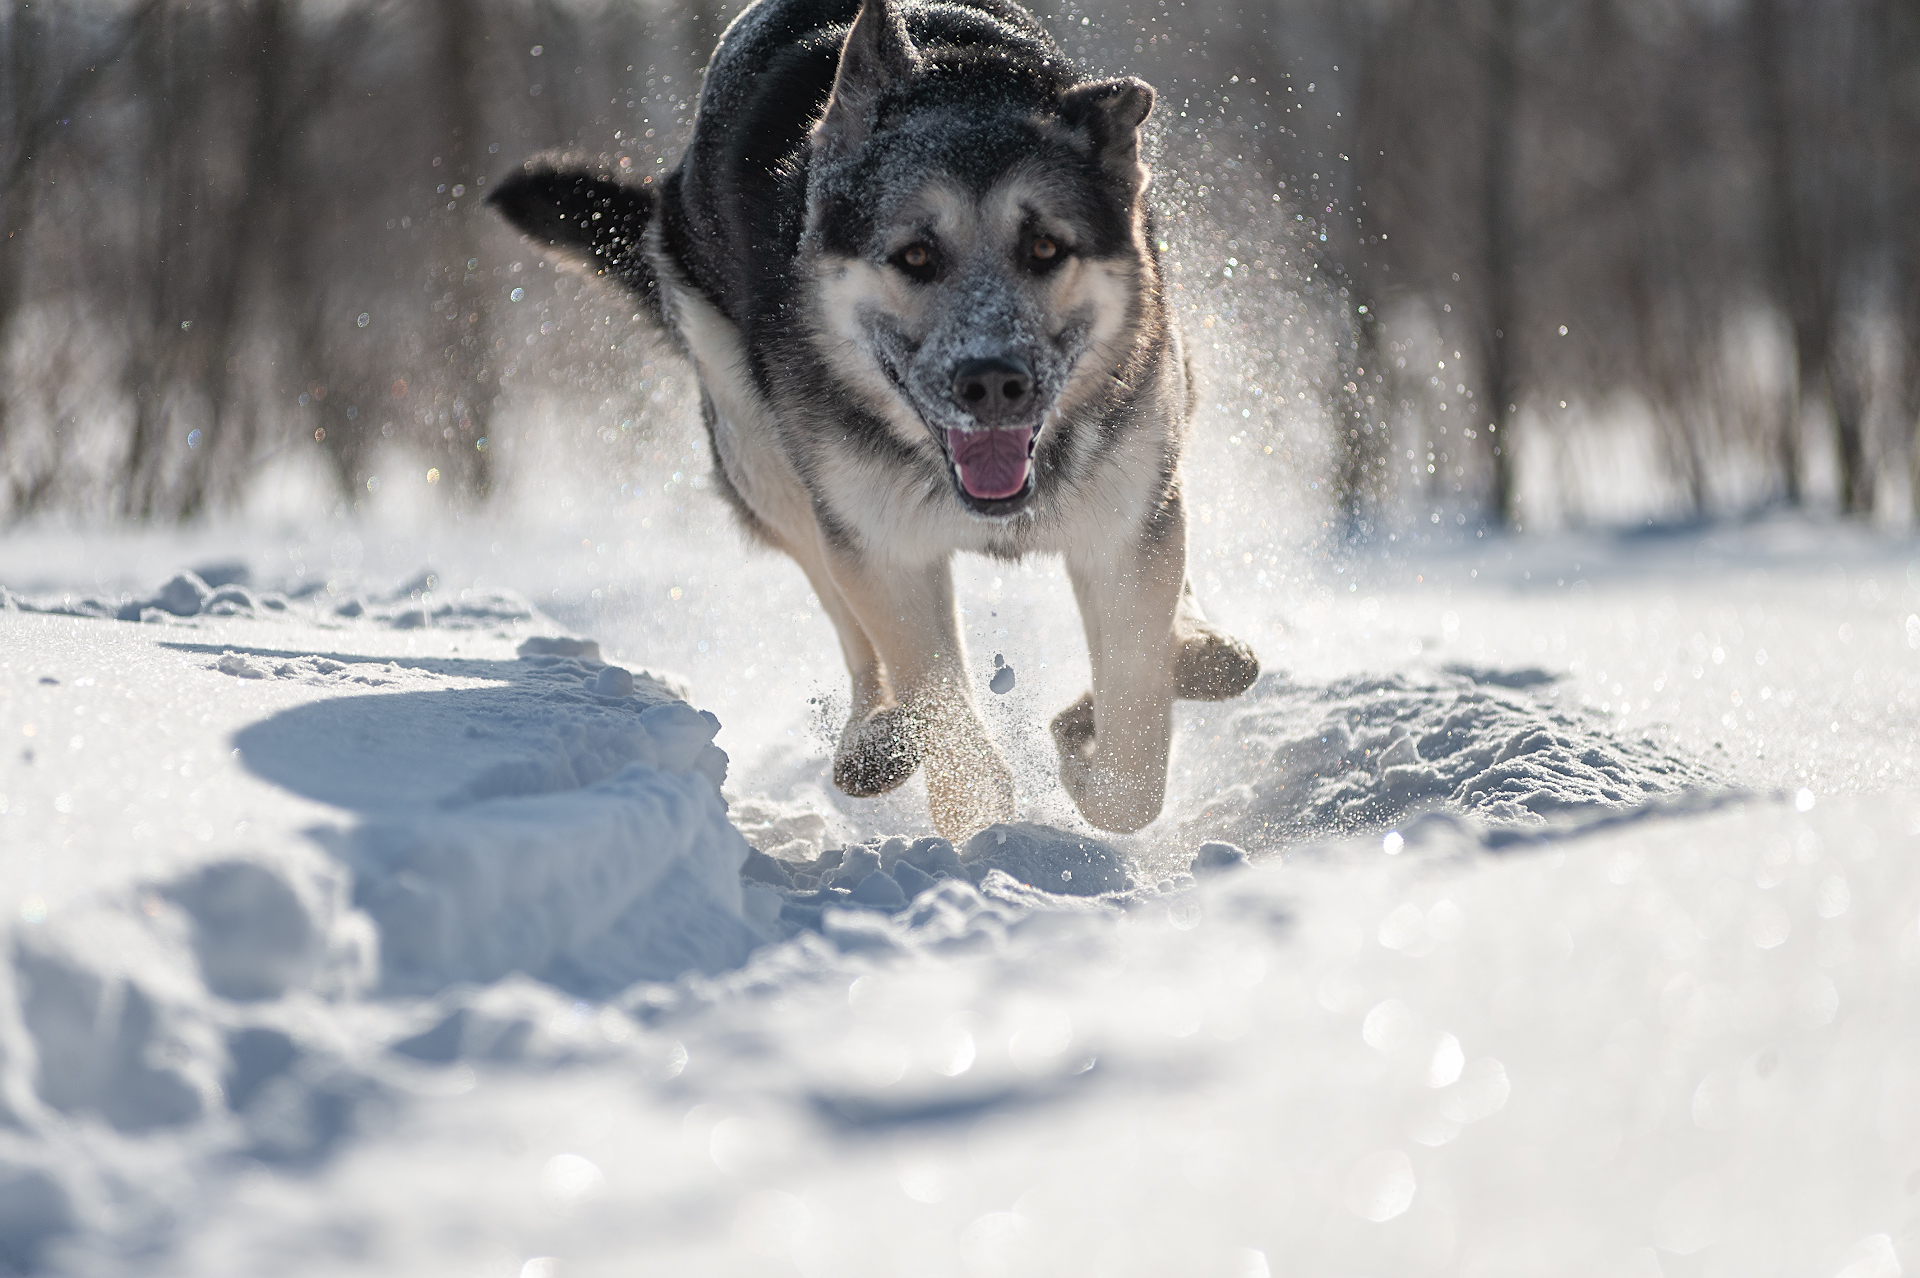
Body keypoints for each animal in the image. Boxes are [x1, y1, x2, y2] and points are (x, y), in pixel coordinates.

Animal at [491, 0, 1259, 836]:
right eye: (916, 256)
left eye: (1046, 247)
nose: (993, 381)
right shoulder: (886, 550)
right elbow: (945, 719)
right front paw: (982, 831)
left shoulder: (1122, 530)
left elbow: (1134, 761)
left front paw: (1085, 734)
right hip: (766, 459)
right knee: (844, 613)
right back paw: (876, 731)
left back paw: (1197, 643)